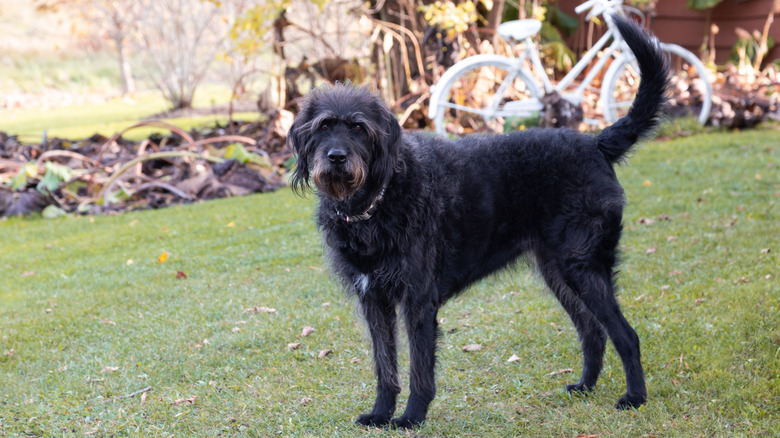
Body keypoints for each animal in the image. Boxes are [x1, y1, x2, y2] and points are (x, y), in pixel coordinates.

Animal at [290, 16, 668, 428]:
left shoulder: (418, 300)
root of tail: (596, 143)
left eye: (358, 127)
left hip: (582, 268)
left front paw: (411, 417)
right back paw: (585, 386)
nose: (336, 157)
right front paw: (380, 413)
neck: (377, 201)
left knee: (626, 335)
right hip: (559, 272)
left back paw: (635, 397)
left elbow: (419, 368)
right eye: (324, 127)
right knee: (592, 332)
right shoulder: (374, 300)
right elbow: (384, 365)